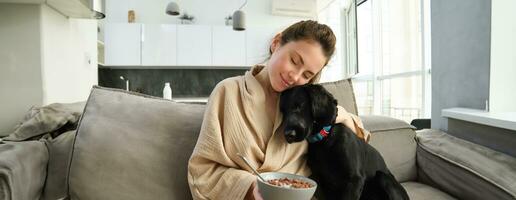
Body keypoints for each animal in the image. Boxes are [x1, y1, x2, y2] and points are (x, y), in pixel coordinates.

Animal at [280, 84, 410, 200]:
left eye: (299, 105)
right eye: (283, 112)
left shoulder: (354, 180)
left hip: (383, 177)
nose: (288, 135)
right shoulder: (319, 181)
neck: (324, 140)